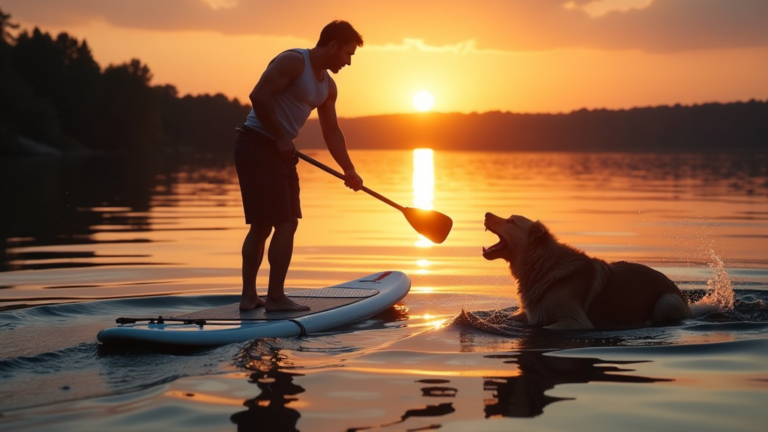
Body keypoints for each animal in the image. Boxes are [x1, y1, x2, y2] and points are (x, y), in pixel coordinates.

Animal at [484, 213, 692, 330]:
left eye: (511, 221)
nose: (486, 213)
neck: (544, 265)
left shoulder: (577, 323)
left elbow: (547, 328)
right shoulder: (530, 314)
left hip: (666, 301)